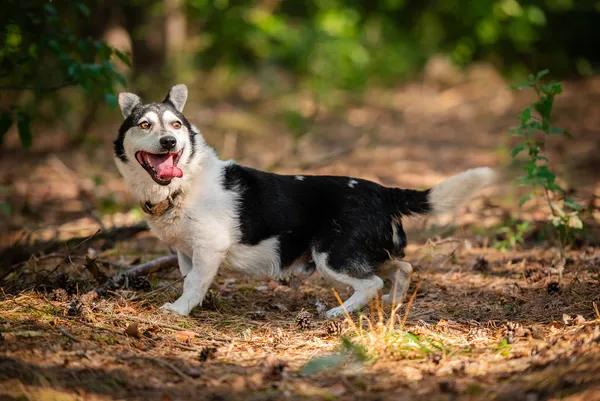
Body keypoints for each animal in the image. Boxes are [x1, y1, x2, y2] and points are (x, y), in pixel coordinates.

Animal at [113, 85, 496, 318]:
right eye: (144, 125)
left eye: (176, 125)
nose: (169, 142)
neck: (183, 185)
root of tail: (382, 191)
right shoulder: (186, 252)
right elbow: (190, 278)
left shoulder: (209, 247)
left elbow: (193, 282)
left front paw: (179, 310)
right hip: (366, 254)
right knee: (402, 268)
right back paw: (393, 300)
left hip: (333, 257)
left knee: (372, 283)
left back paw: (340, 312)